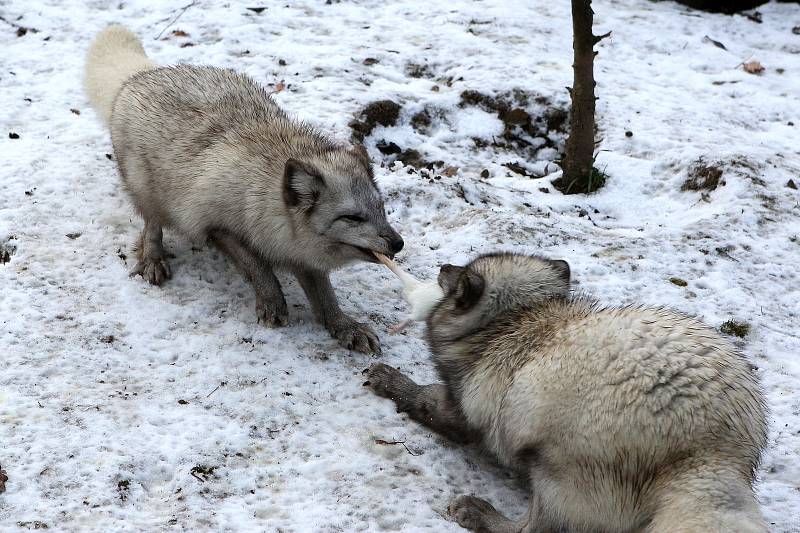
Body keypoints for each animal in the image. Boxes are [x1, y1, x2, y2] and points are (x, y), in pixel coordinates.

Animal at [84, 26, 404, 354]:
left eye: (381, 210)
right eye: (352, 217)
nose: (398, 243)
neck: (265, 195)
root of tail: (145, 74)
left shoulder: (300, 252)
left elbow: (325, 295)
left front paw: (344, 326)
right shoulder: (216, 226)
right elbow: (258, 267)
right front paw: (272, 301)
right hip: (145, 188)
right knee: (151, 224)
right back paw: (153, 257)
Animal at [368, 251, 768, 528]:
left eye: (462, 274)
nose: (443, 266)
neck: (518, 319)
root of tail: (713, 454)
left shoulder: (465, 407)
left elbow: (426, 397)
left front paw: (391, 380)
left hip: (555, 472)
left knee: (534, 530)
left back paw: (480, 514)